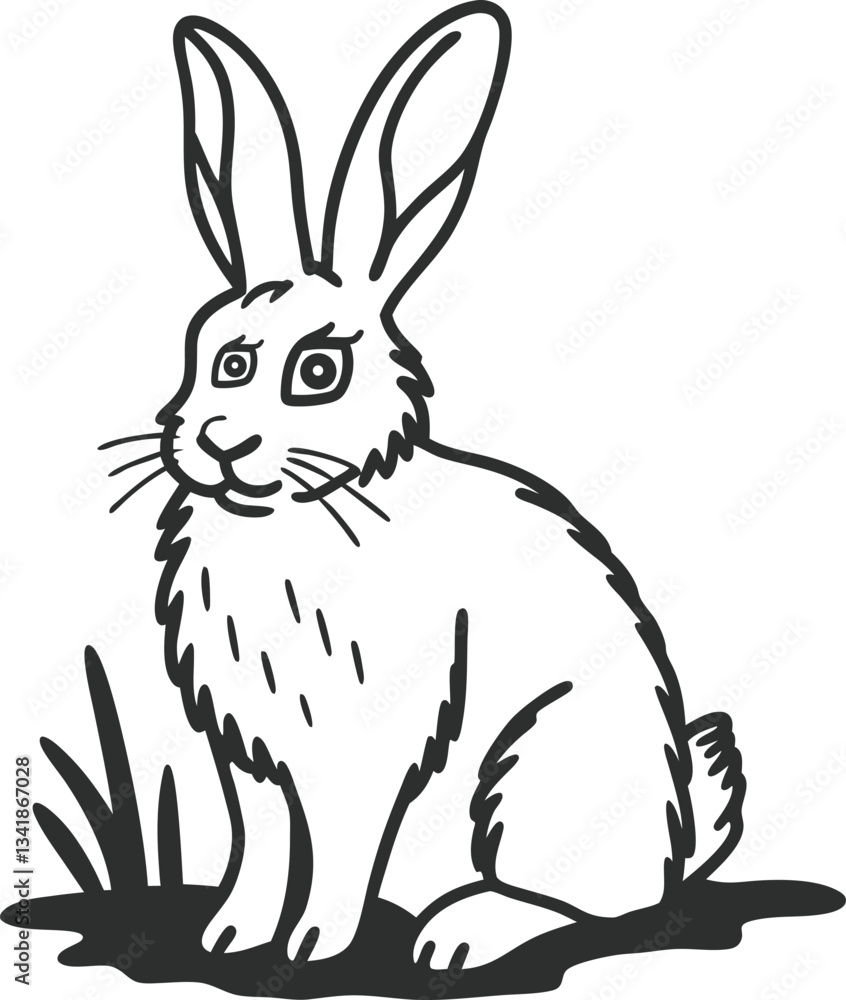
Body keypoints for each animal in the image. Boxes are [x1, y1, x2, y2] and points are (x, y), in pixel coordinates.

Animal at [148, 2, 745, 968]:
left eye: (317, 372)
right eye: (227, 361)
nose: (219, 443)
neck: (295, 510)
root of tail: (678, 840)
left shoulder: (361, 752)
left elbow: (341, 851)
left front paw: (311, 947)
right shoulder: (249, 752)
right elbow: (261, 843)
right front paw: (231, 935)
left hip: (533, 770)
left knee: (585, 906)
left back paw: (460, 933)